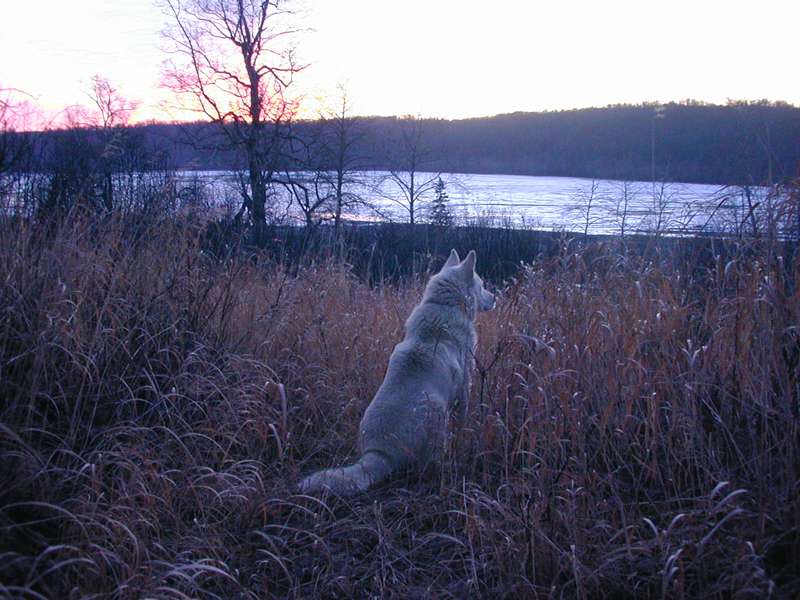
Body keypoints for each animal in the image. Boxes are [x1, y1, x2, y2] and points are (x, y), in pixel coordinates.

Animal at [298, 250, 494, 496]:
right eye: (482, 285)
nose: (495, 297)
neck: (444, 306)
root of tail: (378, 452)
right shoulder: (464, 386)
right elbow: (462, 419)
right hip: (436, 409)